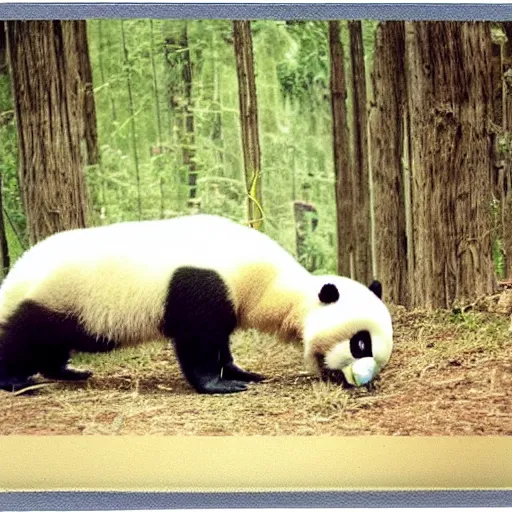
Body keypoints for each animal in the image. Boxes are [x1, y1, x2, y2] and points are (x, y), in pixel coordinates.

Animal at [0, 214, 394, 394]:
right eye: (360, 343)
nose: (365, 379)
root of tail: (13, 277)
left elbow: (221, 342)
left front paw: (241, 372)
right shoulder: (202, 282)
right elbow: (198, 341)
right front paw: (221, 385)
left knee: (51, 345)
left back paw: (68, 371)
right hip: (53, 296)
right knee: (22, 337)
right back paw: (16, 379)